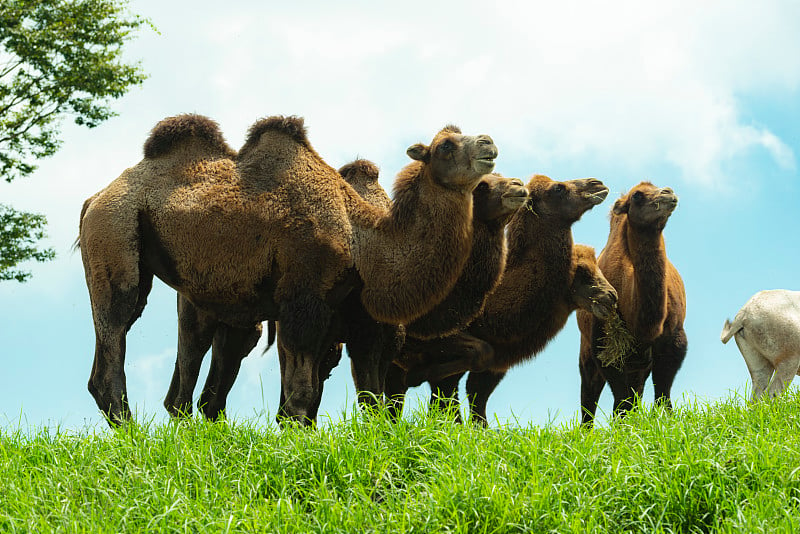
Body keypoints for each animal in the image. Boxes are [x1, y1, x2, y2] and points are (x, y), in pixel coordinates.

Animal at [78, 114, 496, 428]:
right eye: (445, 146)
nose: (489, 143)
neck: (360, 236)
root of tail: (93, 199)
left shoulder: (341, 314)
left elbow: (359, 396)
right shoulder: (303, 297)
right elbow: (301, 395)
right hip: (114, 233)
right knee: (115, 328)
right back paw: (134, 437)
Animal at [384, 177, 616, 428]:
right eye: (558, 188)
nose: (597, 184)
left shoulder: (493, 366)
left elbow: (473, 401)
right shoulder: (438, 341)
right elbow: (457, 387)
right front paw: (417, 378)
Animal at [576, 182, 688, 430]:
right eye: (637, 196)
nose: (668, 193)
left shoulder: (674, 341)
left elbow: (662, 393)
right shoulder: (607, 348)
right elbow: (621, 400)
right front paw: (624, 430)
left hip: (640, 363)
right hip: (588, 351)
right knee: (589, 395)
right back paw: (585, 432)